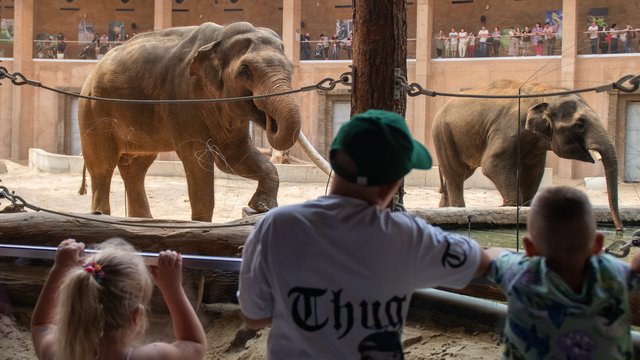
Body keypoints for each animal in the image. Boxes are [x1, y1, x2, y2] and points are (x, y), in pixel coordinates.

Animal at [79, 22, 330, 222]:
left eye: (291, 67)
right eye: (245, 70)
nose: (269, 119)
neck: (220, 37)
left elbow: (234, 157)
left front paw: (260, 207)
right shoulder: (182, 96)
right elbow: (197, 158)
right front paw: (200, 223)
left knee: (135, 169)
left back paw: (142, 221)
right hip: (93, 111)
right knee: (103, 168)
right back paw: (102, 216)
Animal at [432, 79, 624, 231]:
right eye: (580, 124)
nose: (619, 229)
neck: (546, 93)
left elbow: (533, 172)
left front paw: (527, 208)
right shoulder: (509, 127)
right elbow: (492, 165)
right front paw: (510, 207)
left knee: (461, 174)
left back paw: (445, 208)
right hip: (443, 134)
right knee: (456, 174)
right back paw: (458, 208)